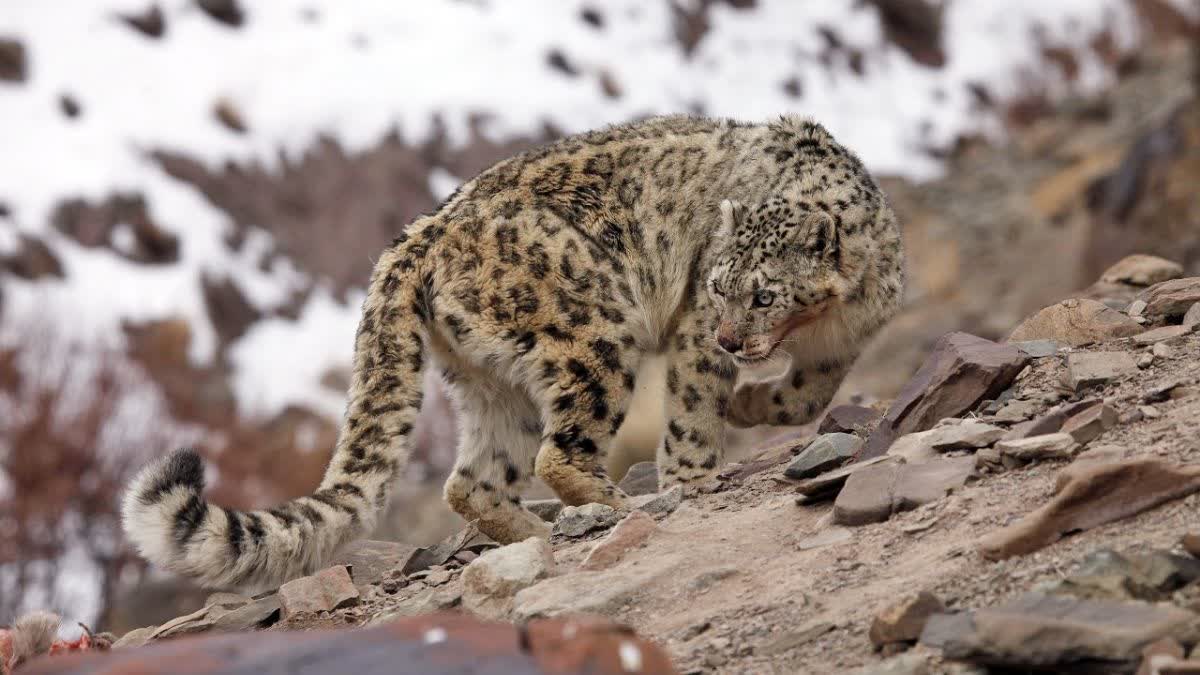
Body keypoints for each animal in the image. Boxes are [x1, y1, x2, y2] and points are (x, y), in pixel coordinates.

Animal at [122, 114, 904, 591]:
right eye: (717, 283)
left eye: (765, 294)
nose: (730, 339)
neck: (823, 320)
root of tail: (416, 236)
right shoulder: (689, 332)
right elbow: (691, 412)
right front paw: (697, 467)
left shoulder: (845, 340)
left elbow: (807, 395)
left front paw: (752, 401)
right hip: (598, 327)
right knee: (559, 451)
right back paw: (611, 503)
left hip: (490, 381)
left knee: (473, 480)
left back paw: (535, 528)